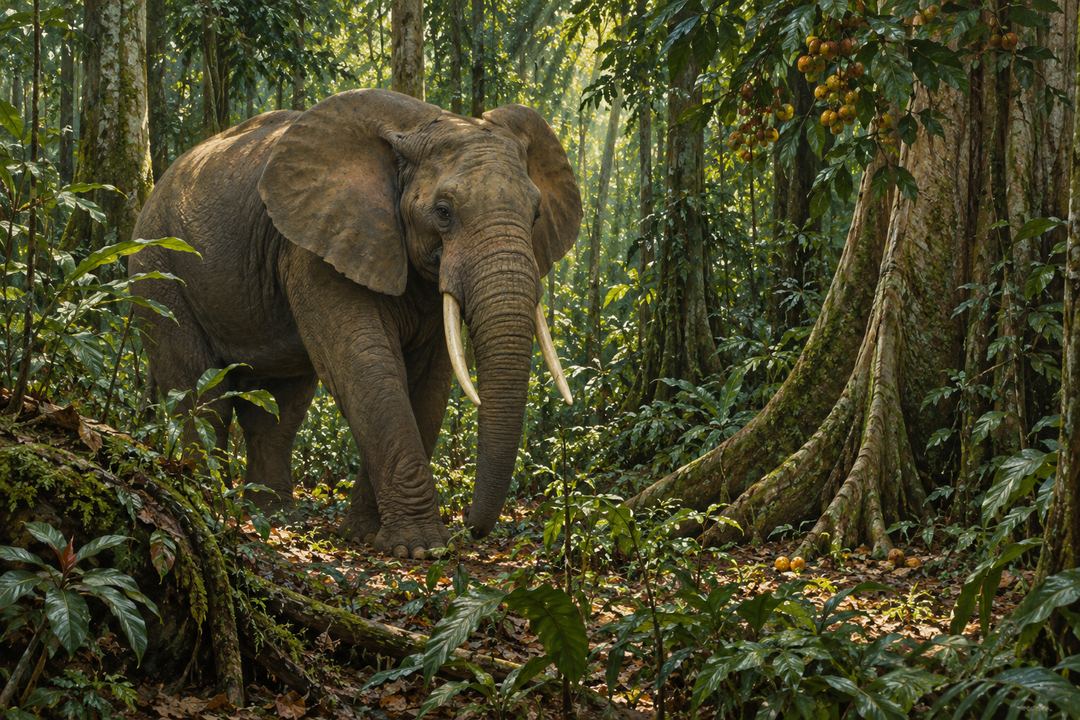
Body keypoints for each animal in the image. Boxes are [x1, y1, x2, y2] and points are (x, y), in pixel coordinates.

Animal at [129, 89, 581, 558]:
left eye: (535, 214)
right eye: (443, 212)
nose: (472, 530)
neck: (416, 128)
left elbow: (427, 384)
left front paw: (365, 537)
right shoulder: (315, 248)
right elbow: (366, 370)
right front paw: (420, 549)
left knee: (277, 412)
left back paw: (273, 518)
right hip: (158, 272)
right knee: (204, 398)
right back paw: (205, 502)